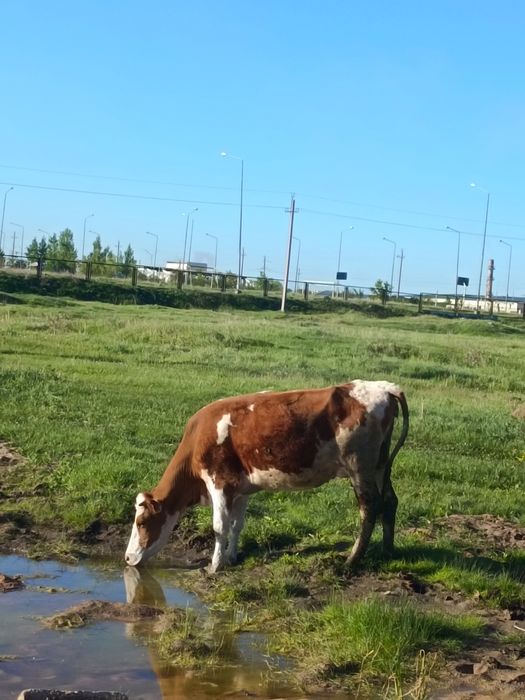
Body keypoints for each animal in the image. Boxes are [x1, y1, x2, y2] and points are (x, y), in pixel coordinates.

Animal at [125, 380, 409, 572]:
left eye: (141, 522)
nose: (127, 558)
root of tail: (384, 387)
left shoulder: (218, 482)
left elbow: (219, 527)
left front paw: (215, 565)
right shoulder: (240, 488)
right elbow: (237, 525)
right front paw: (232, 557)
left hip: (359, 466)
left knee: (369, 507)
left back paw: (351, 560)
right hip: (381, 465)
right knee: (390, 501)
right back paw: (387, 551)